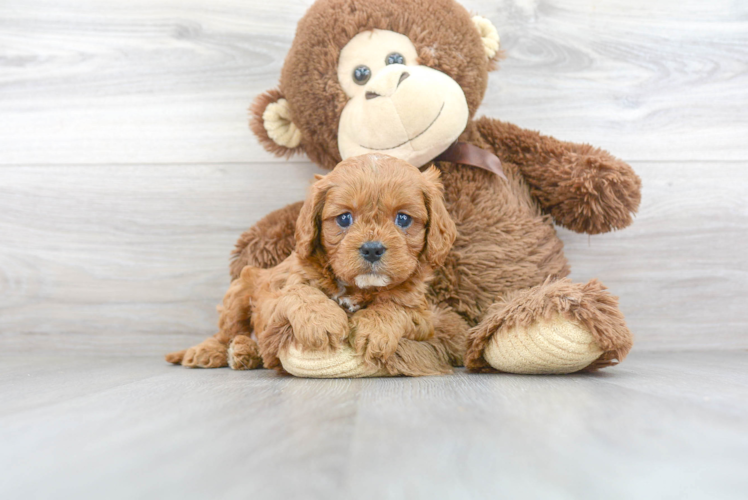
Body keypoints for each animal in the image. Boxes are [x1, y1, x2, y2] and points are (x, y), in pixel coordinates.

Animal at [166, 155, 456, 372]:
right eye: (344, 218)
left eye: (403, 219)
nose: (372, 249)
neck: (358, 288)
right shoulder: (275, 296)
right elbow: (300, 292)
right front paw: (322, 322)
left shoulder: (422, 314)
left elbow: (395, 306)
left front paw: (375, 329)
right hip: (239, 290)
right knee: (228, 331)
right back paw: (210, 351)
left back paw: (243, 353)